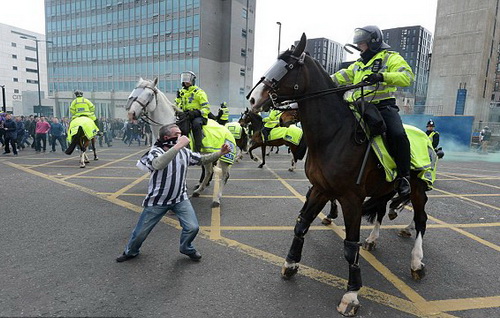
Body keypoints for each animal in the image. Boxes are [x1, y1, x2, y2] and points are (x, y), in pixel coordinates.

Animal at [125, 78, 234, 207]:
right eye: (134, 90)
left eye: (149, 94)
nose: (131, 114)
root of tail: (225, 127)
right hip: (207, 154)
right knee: (208, 172)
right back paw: (198, 190)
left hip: (225, 159)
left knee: (223, 175)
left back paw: (217, 198)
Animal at [248, 34, 432, 316]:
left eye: (287, 66)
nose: (253, 99)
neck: (334, 136)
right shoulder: (321, 189)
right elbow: (301, 225)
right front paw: (291, 264)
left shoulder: (351, 198)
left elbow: (349, 245)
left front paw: (352, 293)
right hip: (384, 187)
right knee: (381, 211)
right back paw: (374, 238)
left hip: (418, 187)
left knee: (421, 219)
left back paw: (416, 262)